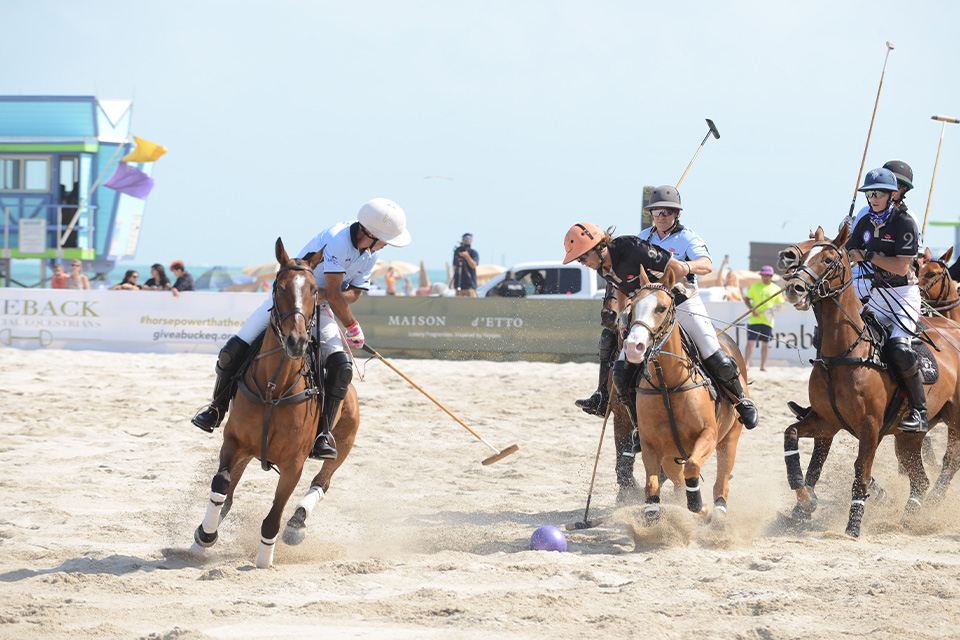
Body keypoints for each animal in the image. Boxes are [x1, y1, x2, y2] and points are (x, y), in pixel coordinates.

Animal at [191, 238, 360, 568]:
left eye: (314, 290)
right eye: (279, 287)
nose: (297, 341)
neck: (274, 388)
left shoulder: (294, 464)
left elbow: (274, 515)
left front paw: (264, 560)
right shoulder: (233, 442)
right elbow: (221, 483)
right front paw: (205, 535)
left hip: (344, 443)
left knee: (322, 481)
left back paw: (297, 524)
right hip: (247, 450)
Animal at [620, 268, 748, 524]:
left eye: (661, 308)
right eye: (633, 306)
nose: (633, 347)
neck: (668, 385)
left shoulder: (708, 434)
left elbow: (692, 466)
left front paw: (698, 505)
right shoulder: (651, 444)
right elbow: (652, 485)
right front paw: (654, 516)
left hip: (730, 436)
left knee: (722, 479)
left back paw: (718, 513)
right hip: (671, 455)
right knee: (678, 480)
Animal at [780, 225, 960, 536]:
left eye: (829, 259)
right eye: (804, 255)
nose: (795, 287)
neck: (843, 353)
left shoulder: (870, 426)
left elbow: (860, 472)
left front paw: (853, 526)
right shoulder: (826, 421)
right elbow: (795, 441)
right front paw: (804, 503)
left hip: (956, 421)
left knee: (949, 463)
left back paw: (930, 507)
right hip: (908, 437)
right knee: (920, 478)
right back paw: (910, 518)